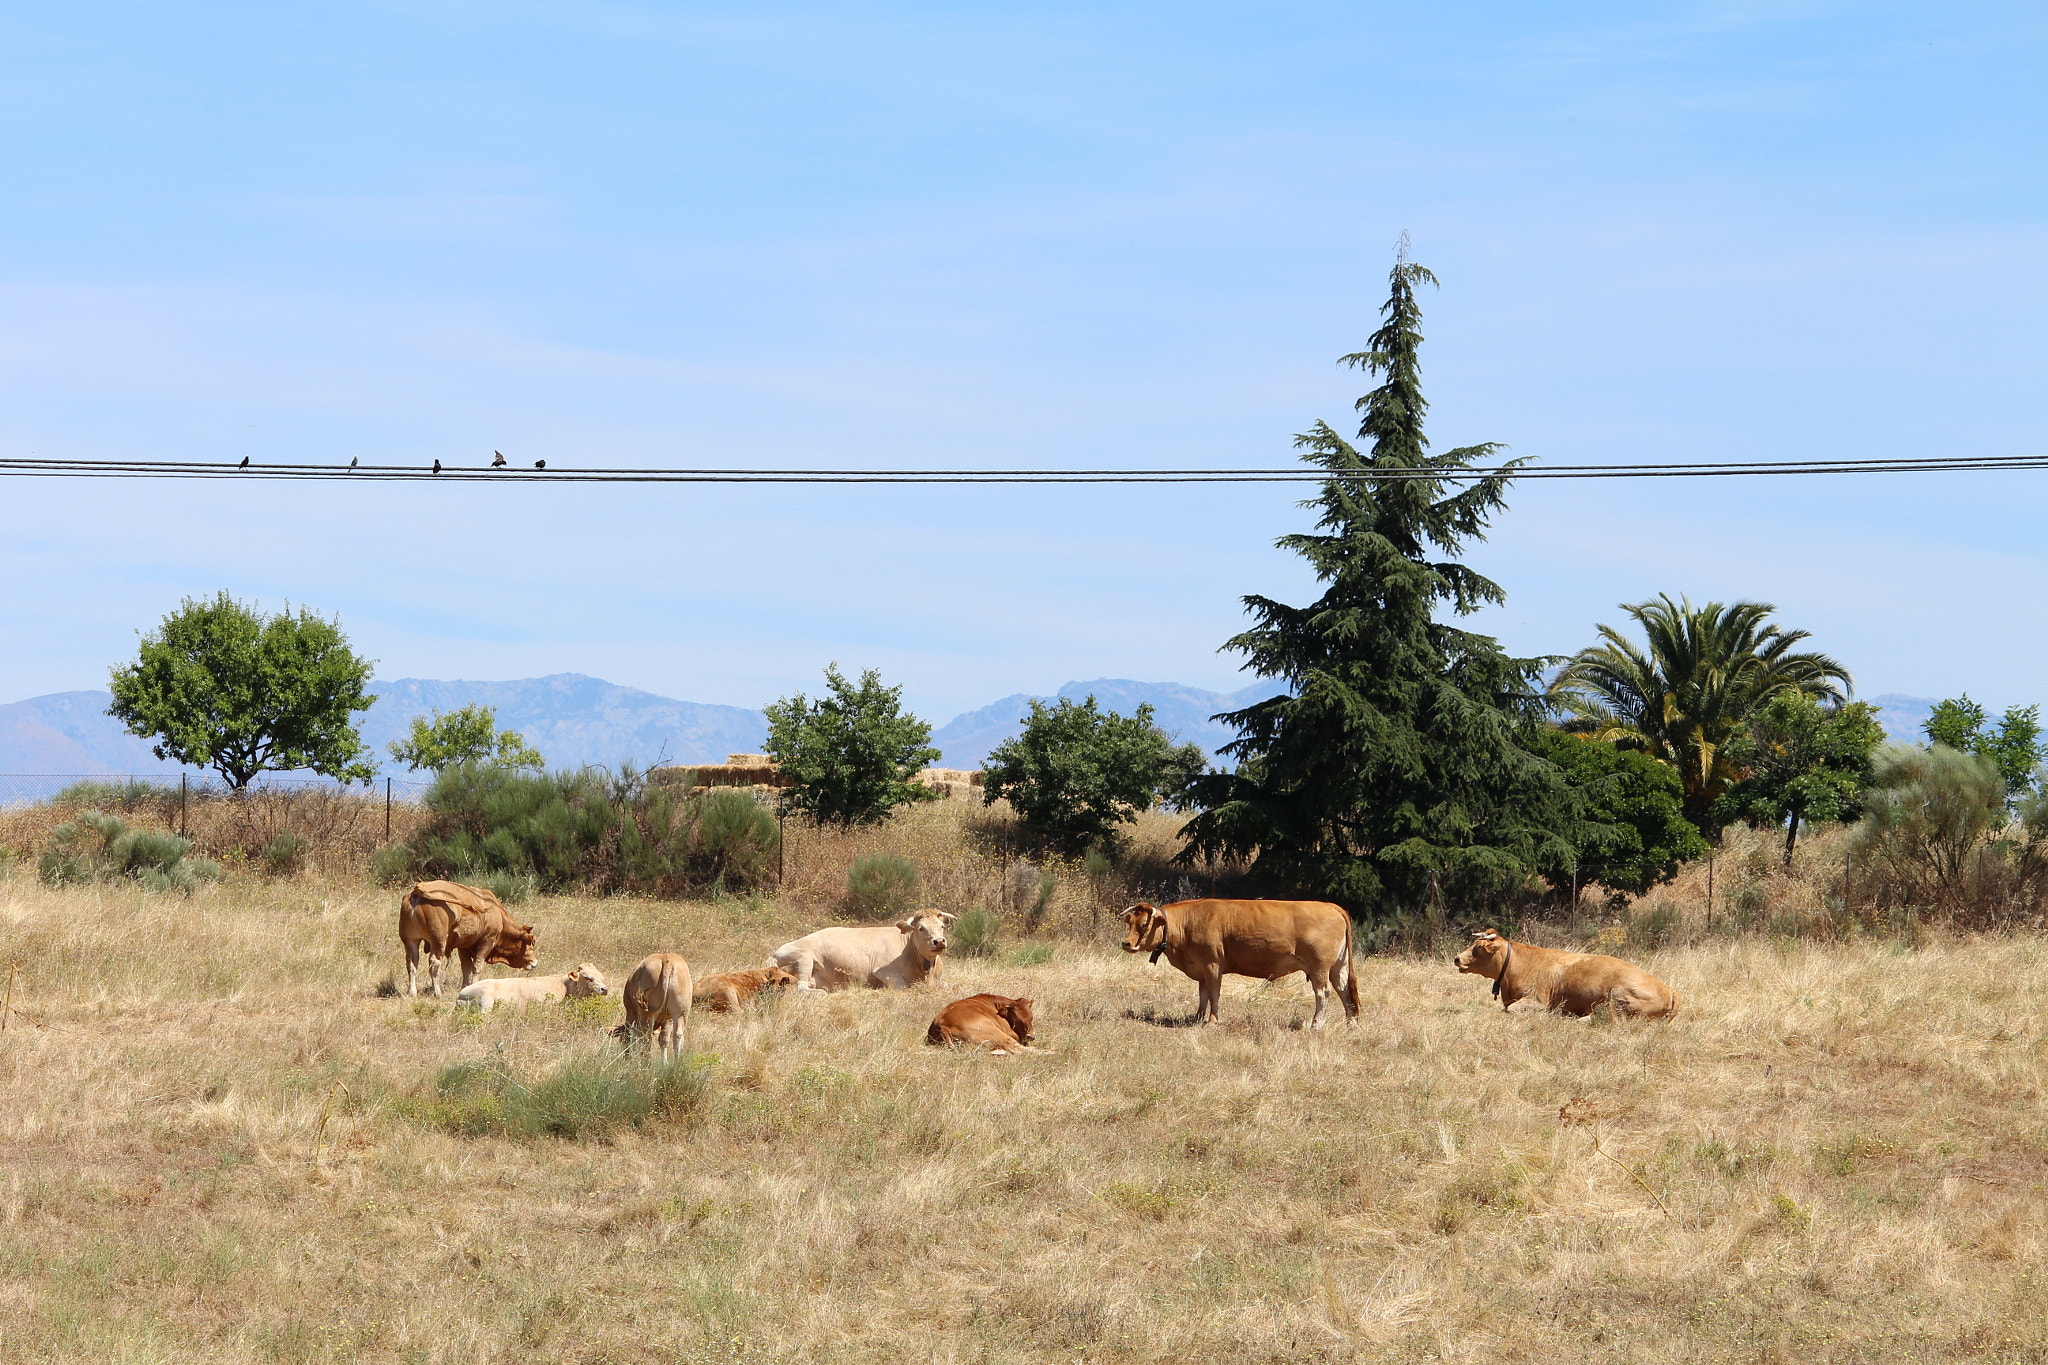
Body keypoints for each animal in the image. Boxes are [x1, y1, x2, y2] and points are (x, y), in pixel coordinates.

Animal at [398, 880, 537, 997]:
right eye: (531, 942)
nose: (534, 962)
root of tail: (418, 889)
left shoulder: (463, 946)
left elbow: (466, 967)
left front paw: (465, 987)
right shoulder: (487, 941)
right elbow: (476, 966)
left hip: (410, 941)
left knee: (411, 963)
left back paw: (412, 992)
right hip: (438, 942)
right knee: (434, 963)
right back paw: (437, 992)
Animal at [768, 910, 955, 991]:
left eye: (942, 926)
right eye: (921, 928)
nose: (939, 941)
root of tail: (773, 955)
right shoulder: (886, 972)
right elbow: (903, 988)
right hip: (804, 958)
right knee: (801, 987)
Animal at [1121, 899, 1358, 1029]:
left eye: (1144, 924)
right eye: (1129, 921)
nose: (1126, 943)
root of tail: (1330, 906)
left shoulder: (1212, 964)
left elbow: (1214, 994)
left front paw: (1212, 1021)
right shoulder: (1201, 967)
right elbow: (1203, 995)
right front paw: (1197, 1018)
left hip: (1320, 967)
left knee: (1323, 994)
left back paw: (1316, 1024)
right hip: (1338, 967)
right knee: (1345, 992)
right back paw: (1351, 1024)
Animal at [1453, 929, 1679, 1020]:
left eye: (1478, 948)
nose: (1457, 958)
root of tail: (1669, 990)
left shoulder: (1537, 1000)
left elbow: (1509, 1010)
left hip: (1617, 999)